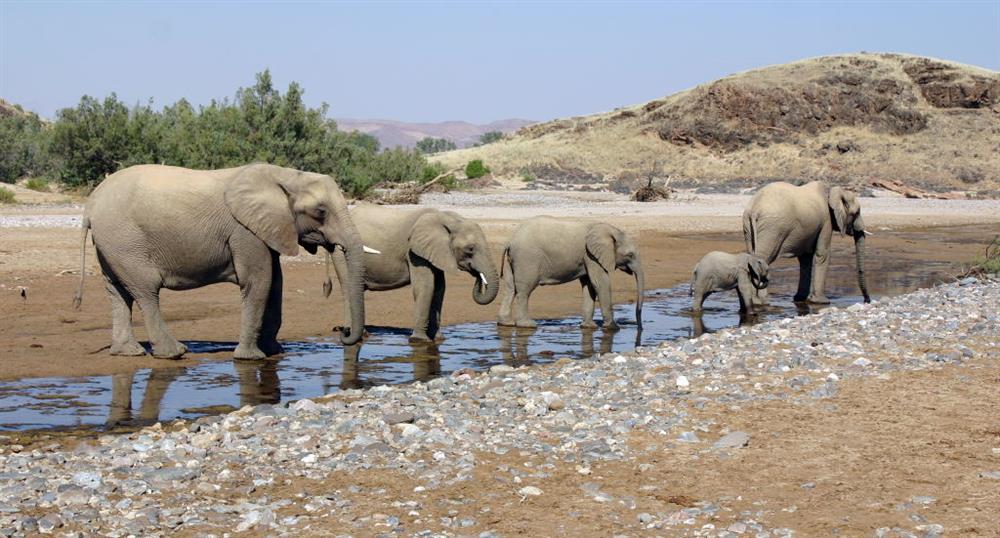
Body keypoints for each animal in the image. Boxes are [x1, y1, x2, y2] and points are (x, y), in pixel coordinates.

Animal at [76, 161, 370, 358]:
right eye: (321, 211)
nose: (343, 333)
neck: (284, 175)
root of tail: (90, 206)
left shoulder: (264, 230)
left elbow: (276, 284)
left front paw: (274, 351)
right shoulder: (244, 231)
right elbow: (259, 282)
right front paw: (251, 358)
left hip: (112, 244)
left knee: (117, 292)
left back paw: (128, 352)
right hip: (125, 240)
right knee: (146, 291)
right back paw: (174, 353)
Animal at [328, 203, 500, 342]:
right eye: (470, 249)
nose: (477, 275)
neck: (447, 219)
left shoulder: (435, 252)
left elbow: (439, 289)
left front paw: (438, 339)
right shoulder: (415, 252)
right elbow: (425, 287)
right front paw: (420, 341)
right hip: (341, 253)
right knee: (347, 287)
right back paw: (356, 334)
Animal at [496, 217, 644, 326]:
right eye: (630, 255)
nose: (639, 326)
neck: (611, 229)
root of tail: (510, 240)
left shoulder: (587, 257)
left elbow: (589, 285)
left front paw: (589, 326)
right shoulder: (591, 256)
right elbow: (600, 283)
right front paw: (613, 328)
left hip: (513, 261)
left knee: (510, 288)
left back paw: (506, 323)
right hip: (527, 259)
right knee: (524, 290)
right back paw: (527, 325)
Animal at [740, 180, 872, 304]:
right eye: (857, 213)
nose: (867, 300)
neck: (833, 191)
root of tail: (755, 208)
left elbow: (805, 258)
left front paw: (800, 299)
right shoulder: (826, 221)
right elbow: (822, 254)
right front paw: (822, 302)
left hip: (749, 227)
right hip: (773, 229)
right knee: (763, 260)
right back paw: (761, 302)